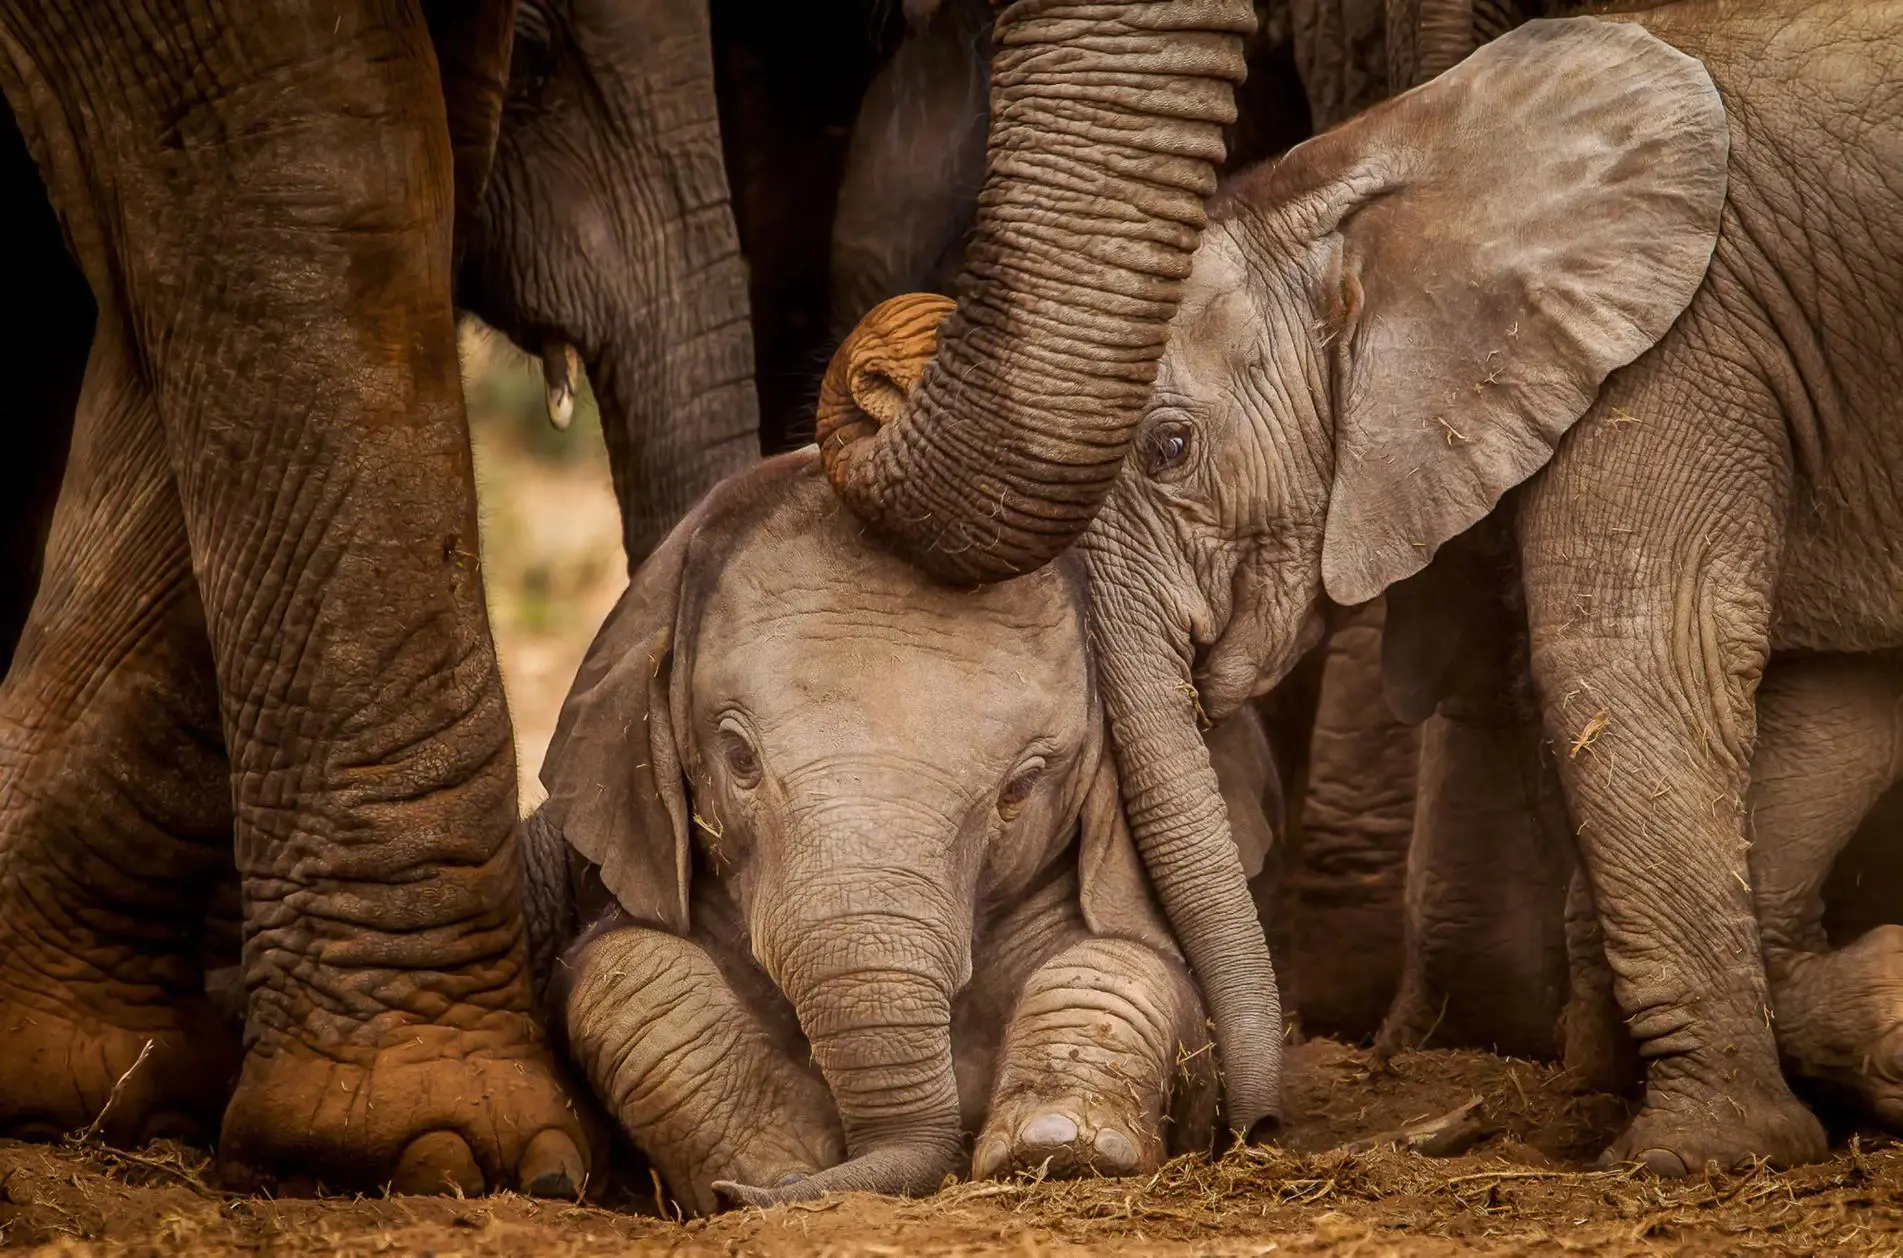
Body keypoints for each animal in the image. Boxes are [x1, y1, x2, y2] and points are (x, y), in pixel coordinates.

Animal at [516, 451, 1281, 1213]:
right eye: (739, 757)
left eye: (1020, 787)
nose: (1261, 1131)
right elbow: (621, 965)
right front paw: (777, 1167)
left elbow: (1136, 963)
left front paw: (1060, 1146)